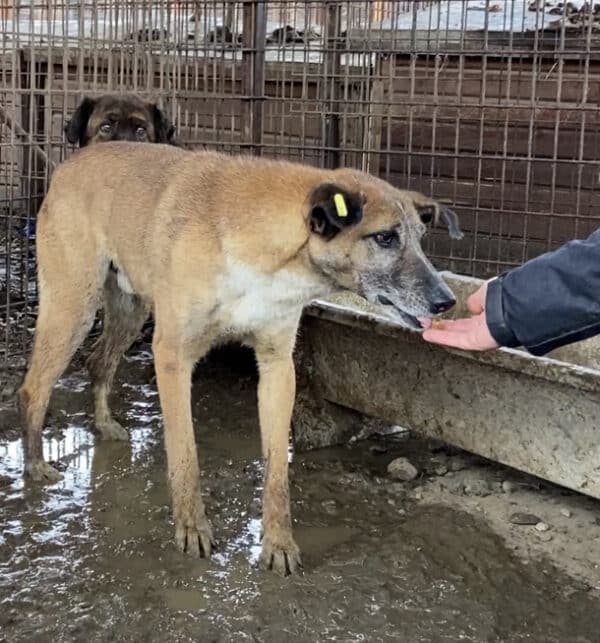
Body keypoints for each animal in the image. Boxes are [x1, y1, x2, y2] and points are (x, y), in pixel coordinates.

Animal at [17, 143, 460, 576]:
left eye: (420, 238)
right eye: (384, 238)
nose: (446, 302)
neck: (267, 249)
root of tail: (72, 162)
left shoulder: (278, 366)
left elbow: (278, 471)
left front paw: (278, 543)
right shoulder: (172, 357)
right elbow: (186, 456)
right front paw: (192, 528)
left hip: (129, 310)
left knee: (98, 362)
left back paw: (104, 424)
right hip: (73, 306)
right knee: (33, 386)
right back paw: (35, 464)